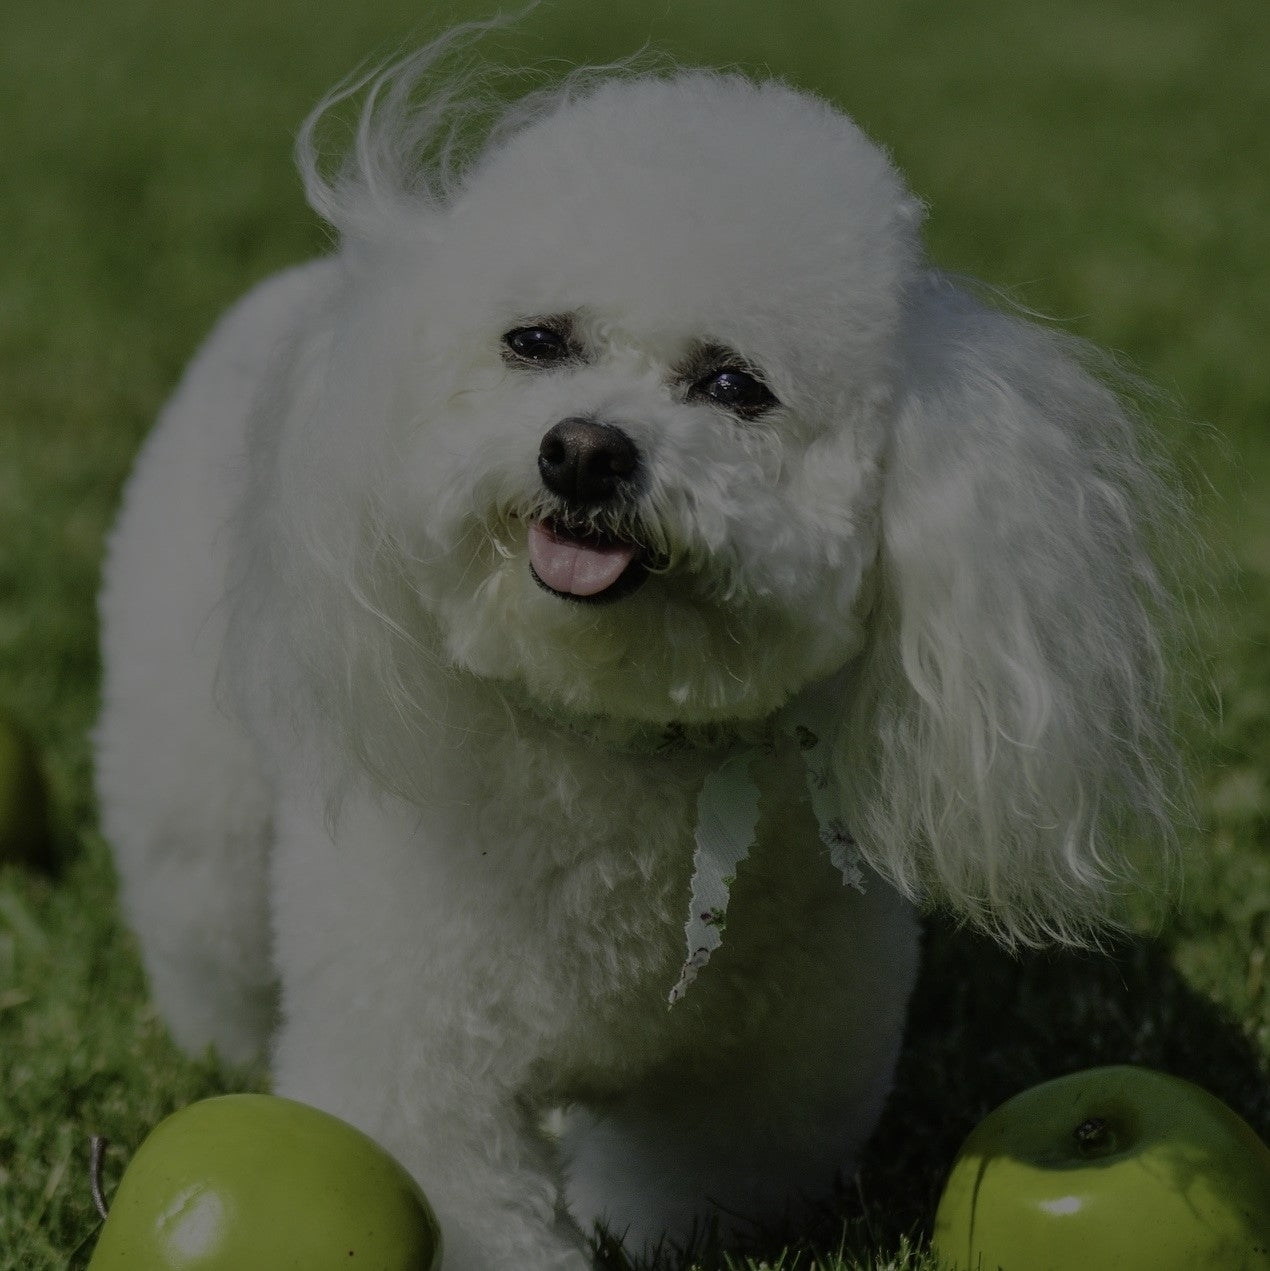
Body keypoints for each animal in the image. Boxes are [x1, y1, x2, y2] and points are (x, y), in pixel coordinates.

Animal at [94, 34, 1184, 1265]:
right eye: (535, 341)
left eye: (733, 385)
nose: (581, 449)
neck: (618, 743)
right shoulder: (421, 1064)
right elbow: (473, 1203)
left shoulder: (763, 1082)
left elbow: (697, 1181)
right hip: (199, 791)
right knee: (207, 915)